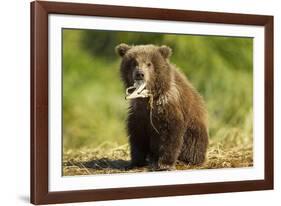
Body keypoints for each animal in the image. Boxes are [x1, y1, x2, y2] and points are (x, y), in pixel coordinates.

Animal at [115, 43, 209, 171]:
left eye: (149, 63)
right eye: (134, 62)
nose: (140, 74)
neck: (149, 96)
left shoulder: (167, 106)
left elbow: (170, 133)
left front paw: (165, 164)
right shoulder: (139, 113)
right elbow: (137, 135)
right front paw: (136, 162)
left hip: (194, 132)